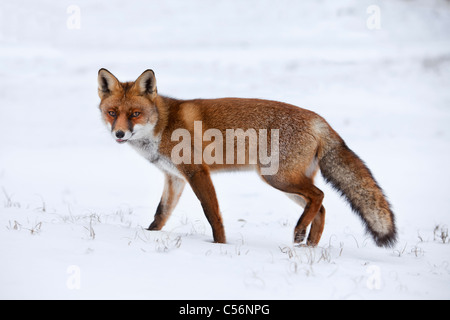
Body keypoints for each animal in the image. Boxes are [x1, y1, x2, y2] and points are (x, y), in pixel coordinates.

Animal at [96, 68, 396, 248]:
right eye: (112, 113)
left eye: (135, 114)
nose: (119, 133)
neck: (163, 125)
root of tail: (319, 119)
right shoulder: (174, 178)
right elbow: (160, 216)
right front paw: (147, 237)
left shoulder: (196, 172)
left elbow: (213, 215)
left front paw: (220, 246)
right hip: (286, 183)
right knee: (320, 207)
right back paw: (308, 246)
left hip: (277, 178)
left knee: (320, 196)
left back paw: (300, 233)